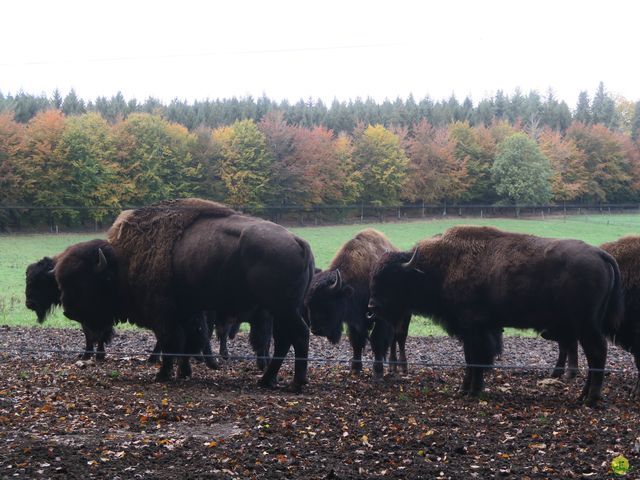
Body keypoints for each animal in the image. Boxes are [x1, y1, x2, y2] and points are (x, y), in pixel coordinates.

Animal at [53, 199, 314, 390]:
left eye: (83, 282)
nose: (67, 310)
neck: (120, 264)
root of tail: (298, 241)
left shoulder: (164, 315)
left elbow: (172, 343)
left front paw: (162, 375)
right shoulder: (188, 312)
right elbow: (188, 343)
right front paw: (183, 373)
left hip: (283, 309)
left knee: (298, 336)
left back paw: (295, 383)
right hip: (282, 310)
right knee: (284, 340)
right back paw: (268, 380)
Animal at [306, 229, 410, 378]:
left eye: (327, 301)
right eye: (309, 304)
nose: (316, 330)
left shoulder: (380, 319)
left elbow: (377, 340)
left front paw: (377, 371)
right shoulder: (354, 320)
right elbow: (357, 341)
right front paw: (355, 369)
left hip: (405, 316)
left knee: (400, 337)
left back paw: (403, 368)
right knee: (393, 341)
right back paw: (392, 367)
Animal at [368, 225, 624, 404]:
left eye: (391, 280)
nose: (372, 307)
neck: (439, 267)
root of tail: (600, 254)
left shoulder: (474, 328)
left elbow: (476, 359)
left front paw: (473, 391)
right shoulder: (471, 330)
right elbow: (470, 360)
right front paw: (464, 390)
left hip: (586, 325)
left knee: (597, 352)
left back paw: (590, 398)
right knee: (593, 355)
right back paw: (583, 395)